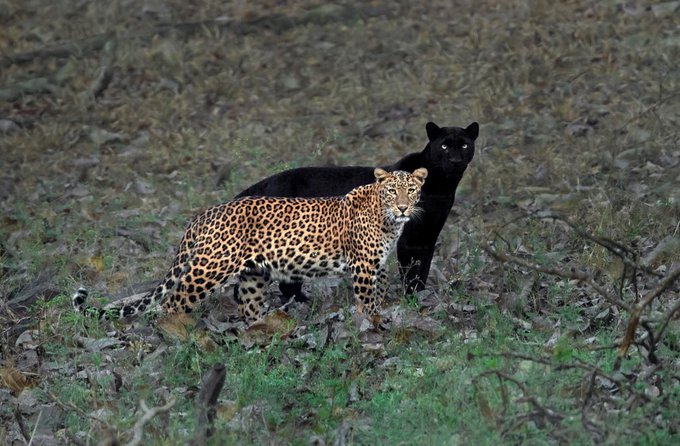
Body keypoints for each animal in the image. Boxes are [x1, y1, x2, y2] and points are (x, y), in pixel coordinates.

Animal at [73, 167, 424, 324]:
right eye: (392, 191)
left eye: (411, 190)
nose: (403, 208)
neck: (387, 220)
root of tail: (203, 215)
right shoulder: (363, 266)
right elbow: (366, 300)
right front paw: (368, 325)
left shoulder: (376, 265)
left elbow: (378, 293)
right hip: (209, 268)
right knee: (172, 302)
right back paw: (177, 332)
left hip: (253, 275)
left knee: (248, 306)